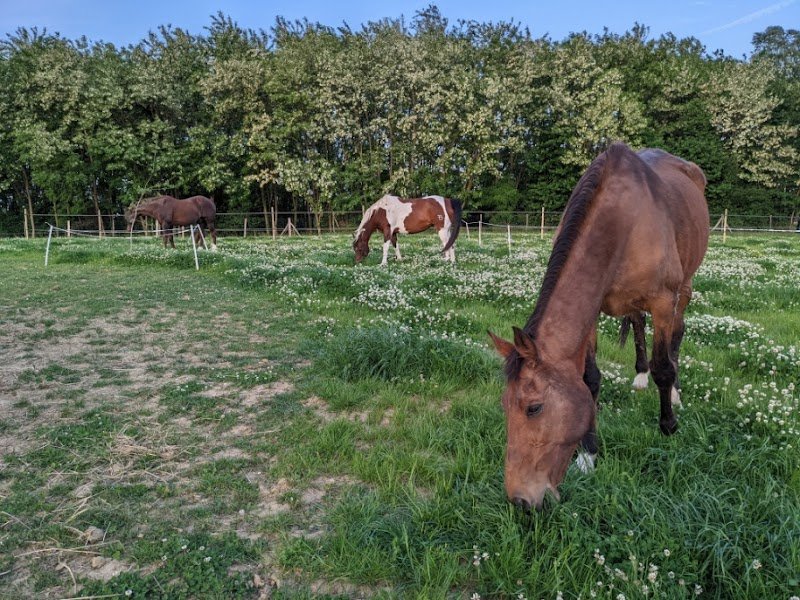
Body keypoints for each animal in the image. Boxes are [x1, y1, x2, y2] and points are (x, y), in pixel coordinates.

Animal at [489, 142, 709, 511]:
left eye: (534, 408)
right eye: (504, 407)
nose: (520, 500)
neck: (622, 225)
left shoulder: (665, 300)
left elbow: (664, 367)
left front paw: (668, 426)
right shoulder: (592, 311)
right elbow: (590, 380)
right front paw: (588, 455)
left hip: (686, 287)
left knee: (677, 335)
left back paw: (675, 393)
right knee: (637, 323)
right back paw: (639, 375)